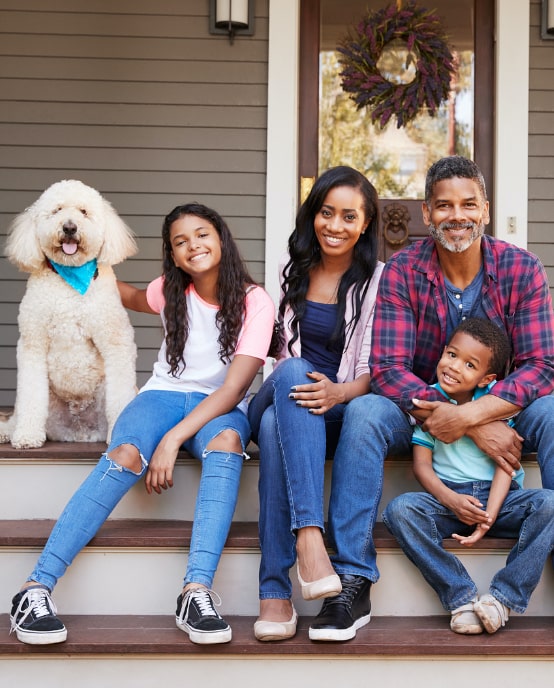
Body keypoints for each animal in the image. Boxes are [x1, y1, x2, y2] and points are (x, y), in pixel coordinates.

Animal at [0, 179, 137, 446]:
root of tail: (79, 431)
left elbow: (122, 396)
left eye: (84, 212)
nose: (70, 227)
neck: (71, 279)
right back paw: (8, 432)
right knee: (19, 412)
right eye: (57, 210)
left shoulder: (116, 341)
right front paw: (27, 436)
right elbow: (30, 396)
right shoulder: (33, 343)